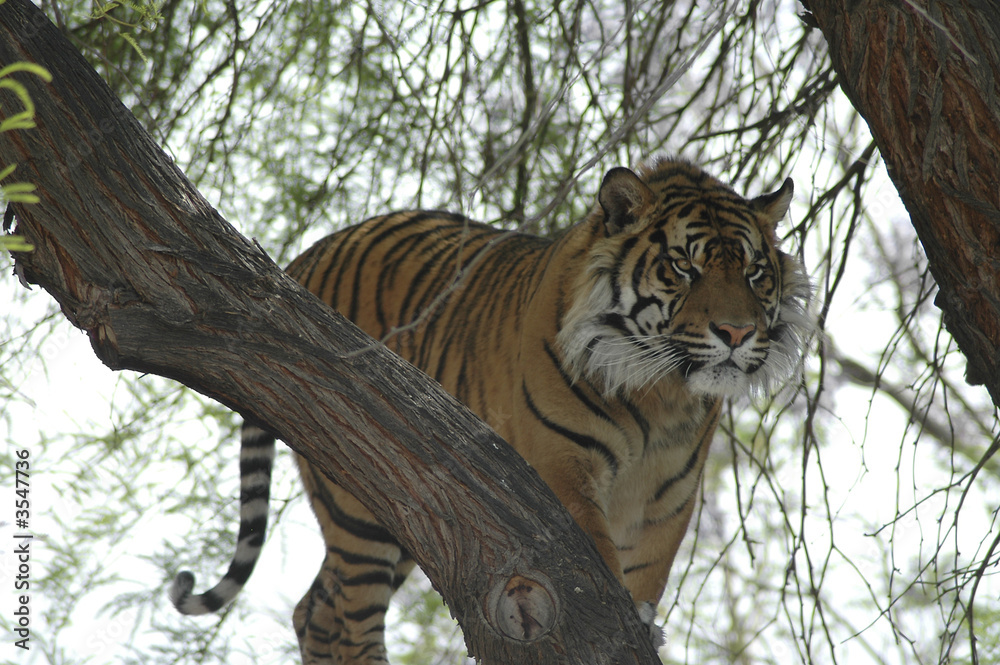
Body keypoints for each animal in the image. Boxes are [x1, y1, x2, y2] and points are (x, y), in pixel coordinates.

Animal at [170, 157, 812, 663]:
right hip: (358, 490)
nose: (737, 332)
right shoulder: (561, 465)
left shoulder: (666, 501)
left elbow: (645, 576)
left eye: (755, 272)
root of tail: (300, 259)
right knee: (345, 618)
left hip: (413, 513)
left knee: (313, 610)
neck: (661, 393)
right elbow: (597, 571)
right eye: (684, 267)